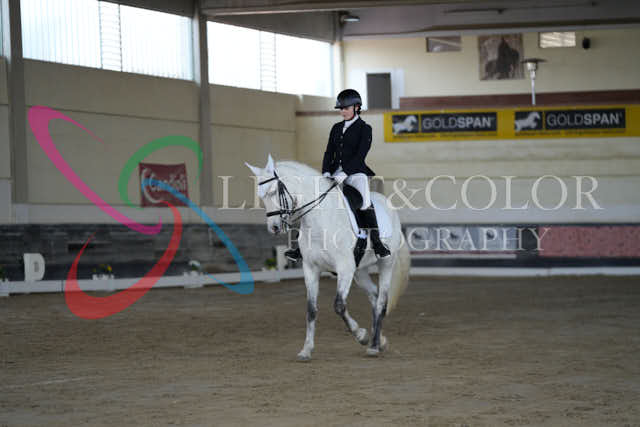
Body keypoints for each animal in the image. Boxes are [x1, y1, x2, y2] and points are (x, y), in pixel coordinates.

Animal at [246, 154, 410, 360]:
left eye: (275, 191)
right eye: (261, 196)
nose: (274, 228)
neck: (319, 220)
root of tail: (390, 208)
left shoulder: (344, 268)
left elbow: (339, 305)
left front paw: (361, 335)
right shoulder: (311, 268)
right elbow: (311, 309)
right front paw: (306, 349)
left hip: (386, 262)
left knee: (381, 300)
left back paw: (372, 345)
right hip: (360, 271)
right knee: (373, 295)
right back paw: (380, 341)